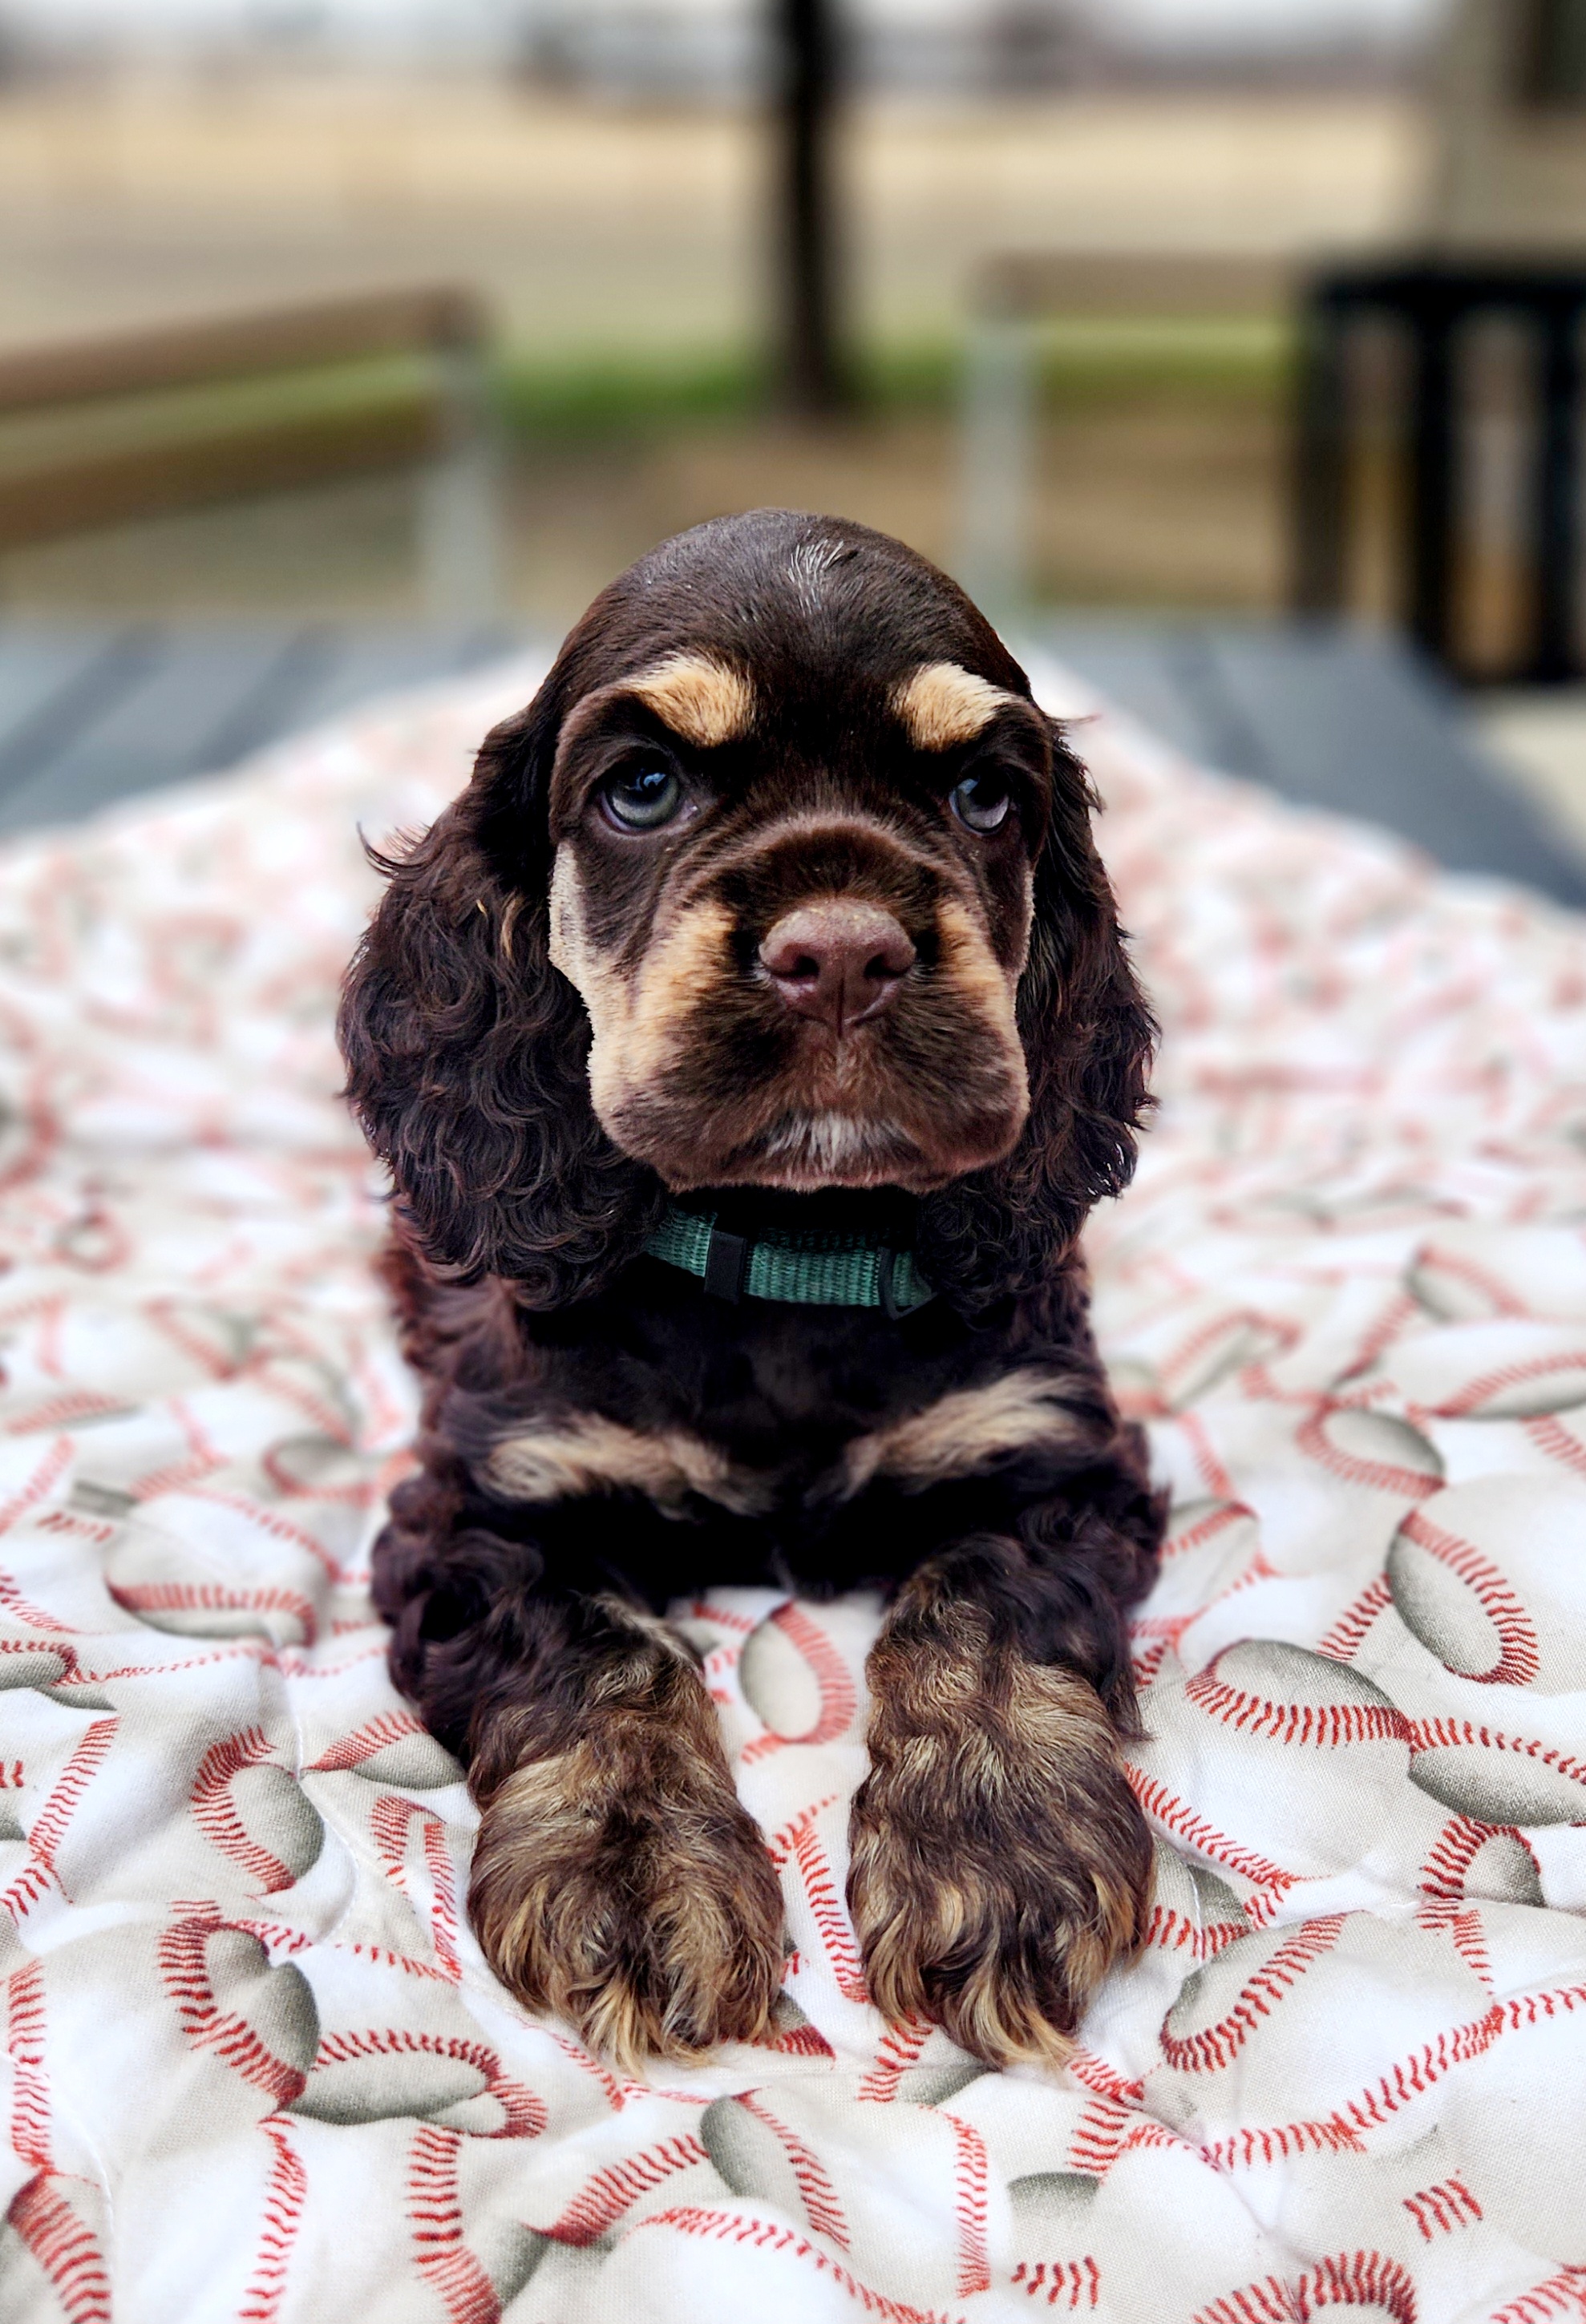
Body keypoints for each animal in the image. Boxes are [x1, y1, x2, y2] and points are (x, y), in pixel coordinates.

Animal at [339, 509, 1164, 2073]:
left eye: (982, 793)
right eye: (642, 787)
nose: (839, 953)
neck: (786, 1242)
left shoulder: (1051, 1457)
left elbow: (980, 1605)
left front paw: (998, 1850)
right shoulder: (485, 1509)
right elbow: (603, 1655)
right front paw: (628, 1869)